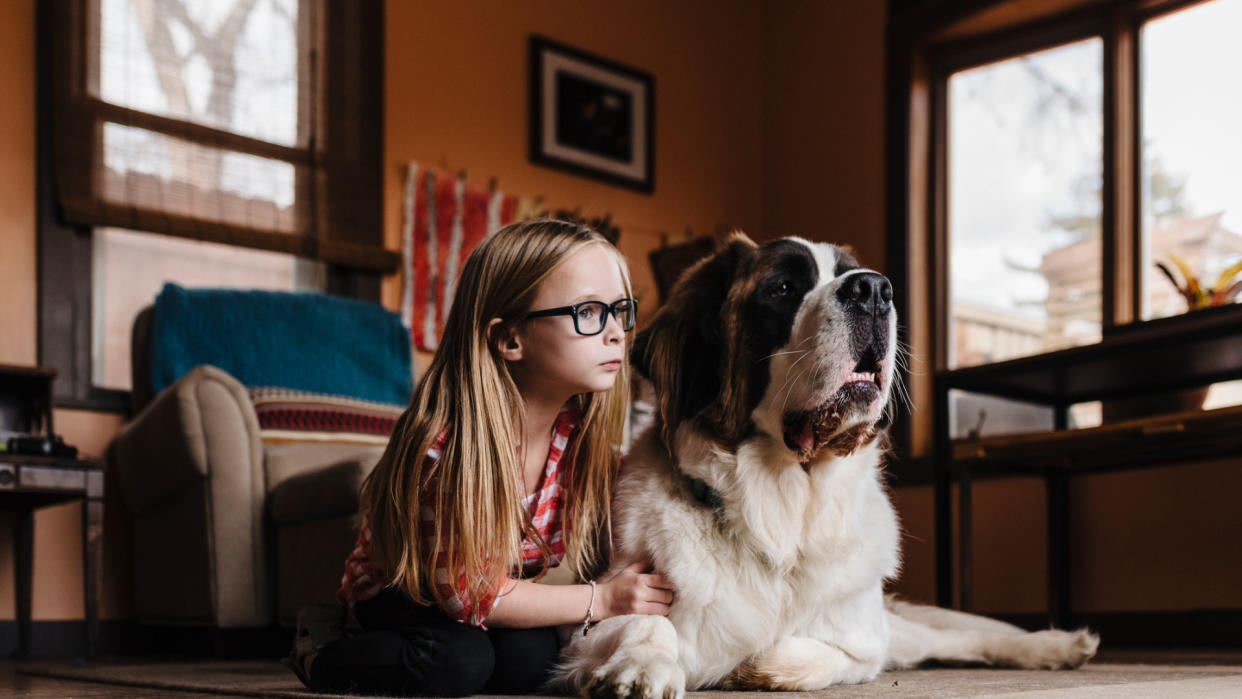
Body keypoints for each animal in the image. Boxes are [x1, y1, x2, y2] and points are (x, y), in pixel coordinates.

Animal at [553, 237, 1097, 699]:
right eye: (782, 289)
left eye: (855, 275)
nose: (874, 289)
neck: (781, 506)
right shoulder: (603, 608)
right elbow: (647, 620)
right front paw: (640, 666)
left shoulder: (863, 636)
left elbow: (802, 650)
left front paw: (748, 668)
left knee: (946, 640)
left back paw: (1055, 646)